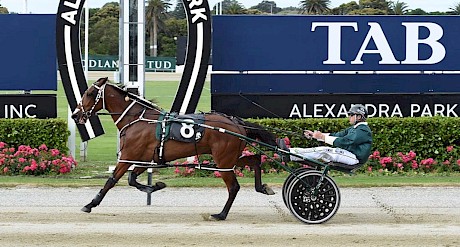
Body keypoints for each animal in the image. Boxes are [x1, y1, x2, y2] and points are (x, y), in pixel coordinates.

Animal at [73, 77, 276, 220]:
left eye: (89, 93)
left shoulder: (128, 157)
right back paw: (263, 187)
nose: (75, 114)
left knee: (234, 187)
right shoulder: (144, 159)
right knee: (255, 160)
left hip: (223, 161)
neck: (137, 119)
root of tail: (236, 123)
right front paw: (155, 186)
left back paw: (221, 214)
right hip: (230, 157)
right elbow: (132, 179)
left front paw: (90, 204)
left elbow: (111, 180)